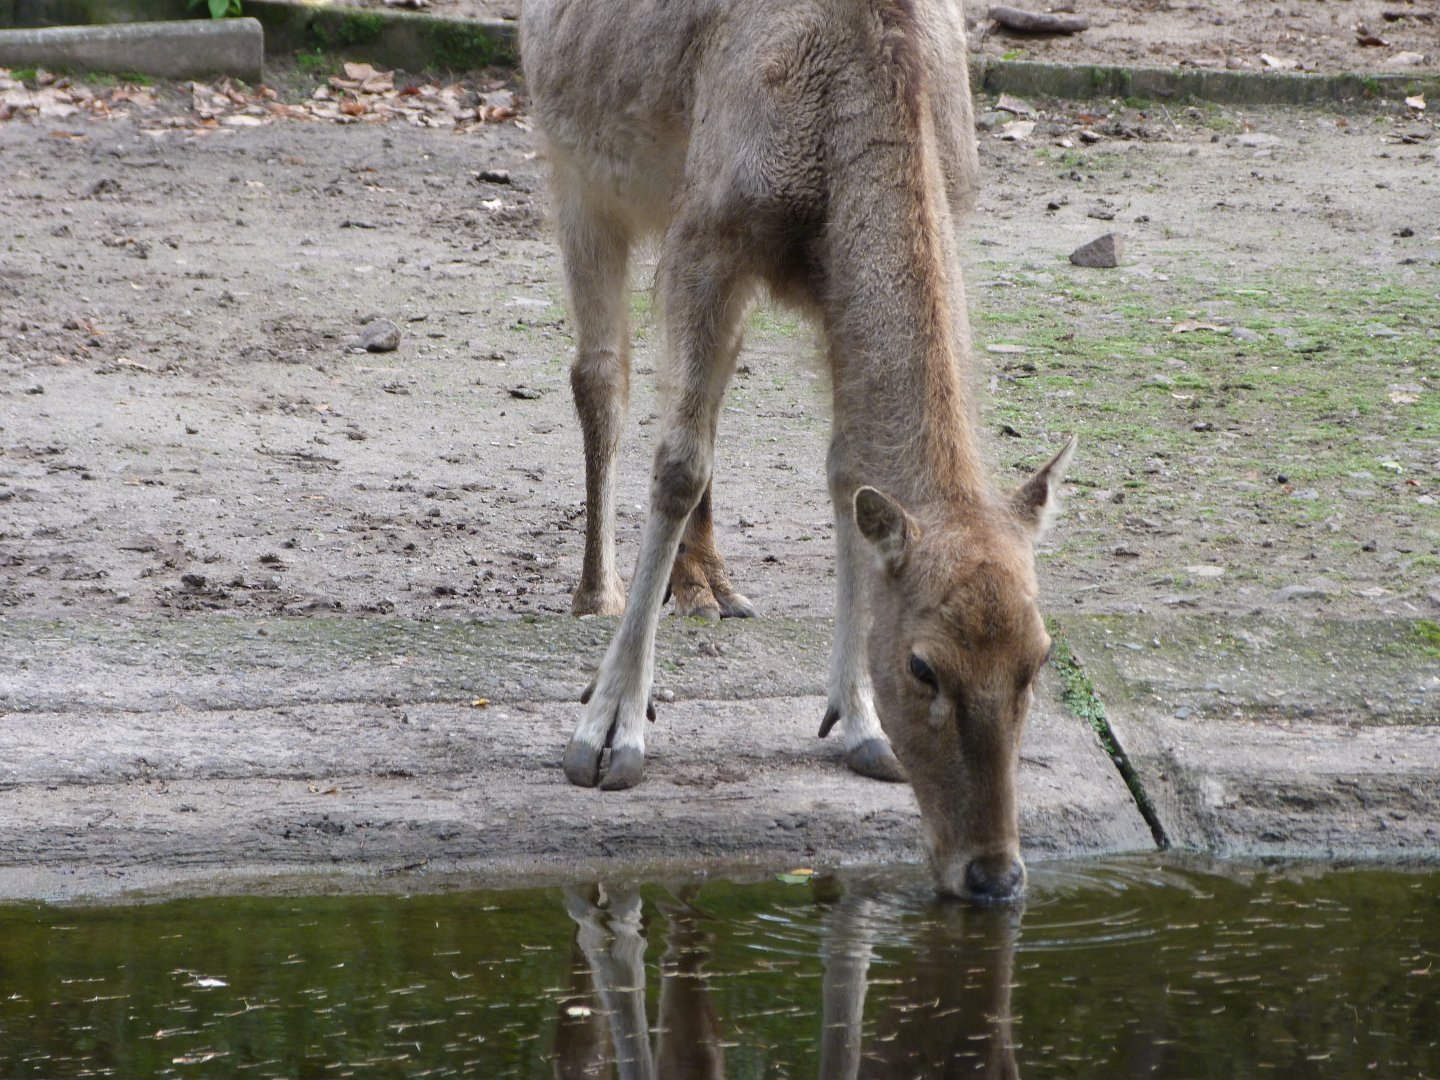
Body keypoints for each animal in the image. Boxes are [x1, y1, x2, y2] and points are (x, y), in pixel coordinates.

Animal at [521, 0, 1075, 903]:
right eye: (923, 667)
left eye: (1039, 657)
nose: (994, 874)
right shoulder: (710, 234)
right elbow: (677, 462)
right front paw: (610, 732)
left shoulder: (831, 277)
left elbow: (847, 470)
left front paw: (856, 723)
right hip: (574, 168)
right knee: (604, 375)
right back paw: (597, 593)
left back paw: (707, 587)